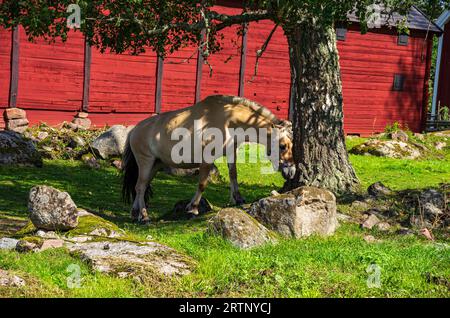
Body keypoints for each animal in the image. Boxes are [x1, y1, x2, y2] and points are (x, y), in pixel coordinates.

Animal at [121, 94, 296, 224]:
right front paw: (193, 208)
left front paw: (238, 199)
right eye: (283, 146)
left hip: (155, 165)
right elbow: (202, 184)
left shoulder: (231, 152)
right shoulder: (207, 159)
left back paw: (135, 213)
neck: (228, 120)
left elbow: (233, 175)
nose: (292, 171)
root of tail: (135, 130)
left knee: (140, 187)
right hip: (146, 162)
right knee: (140, 186)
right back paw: (144, 216)